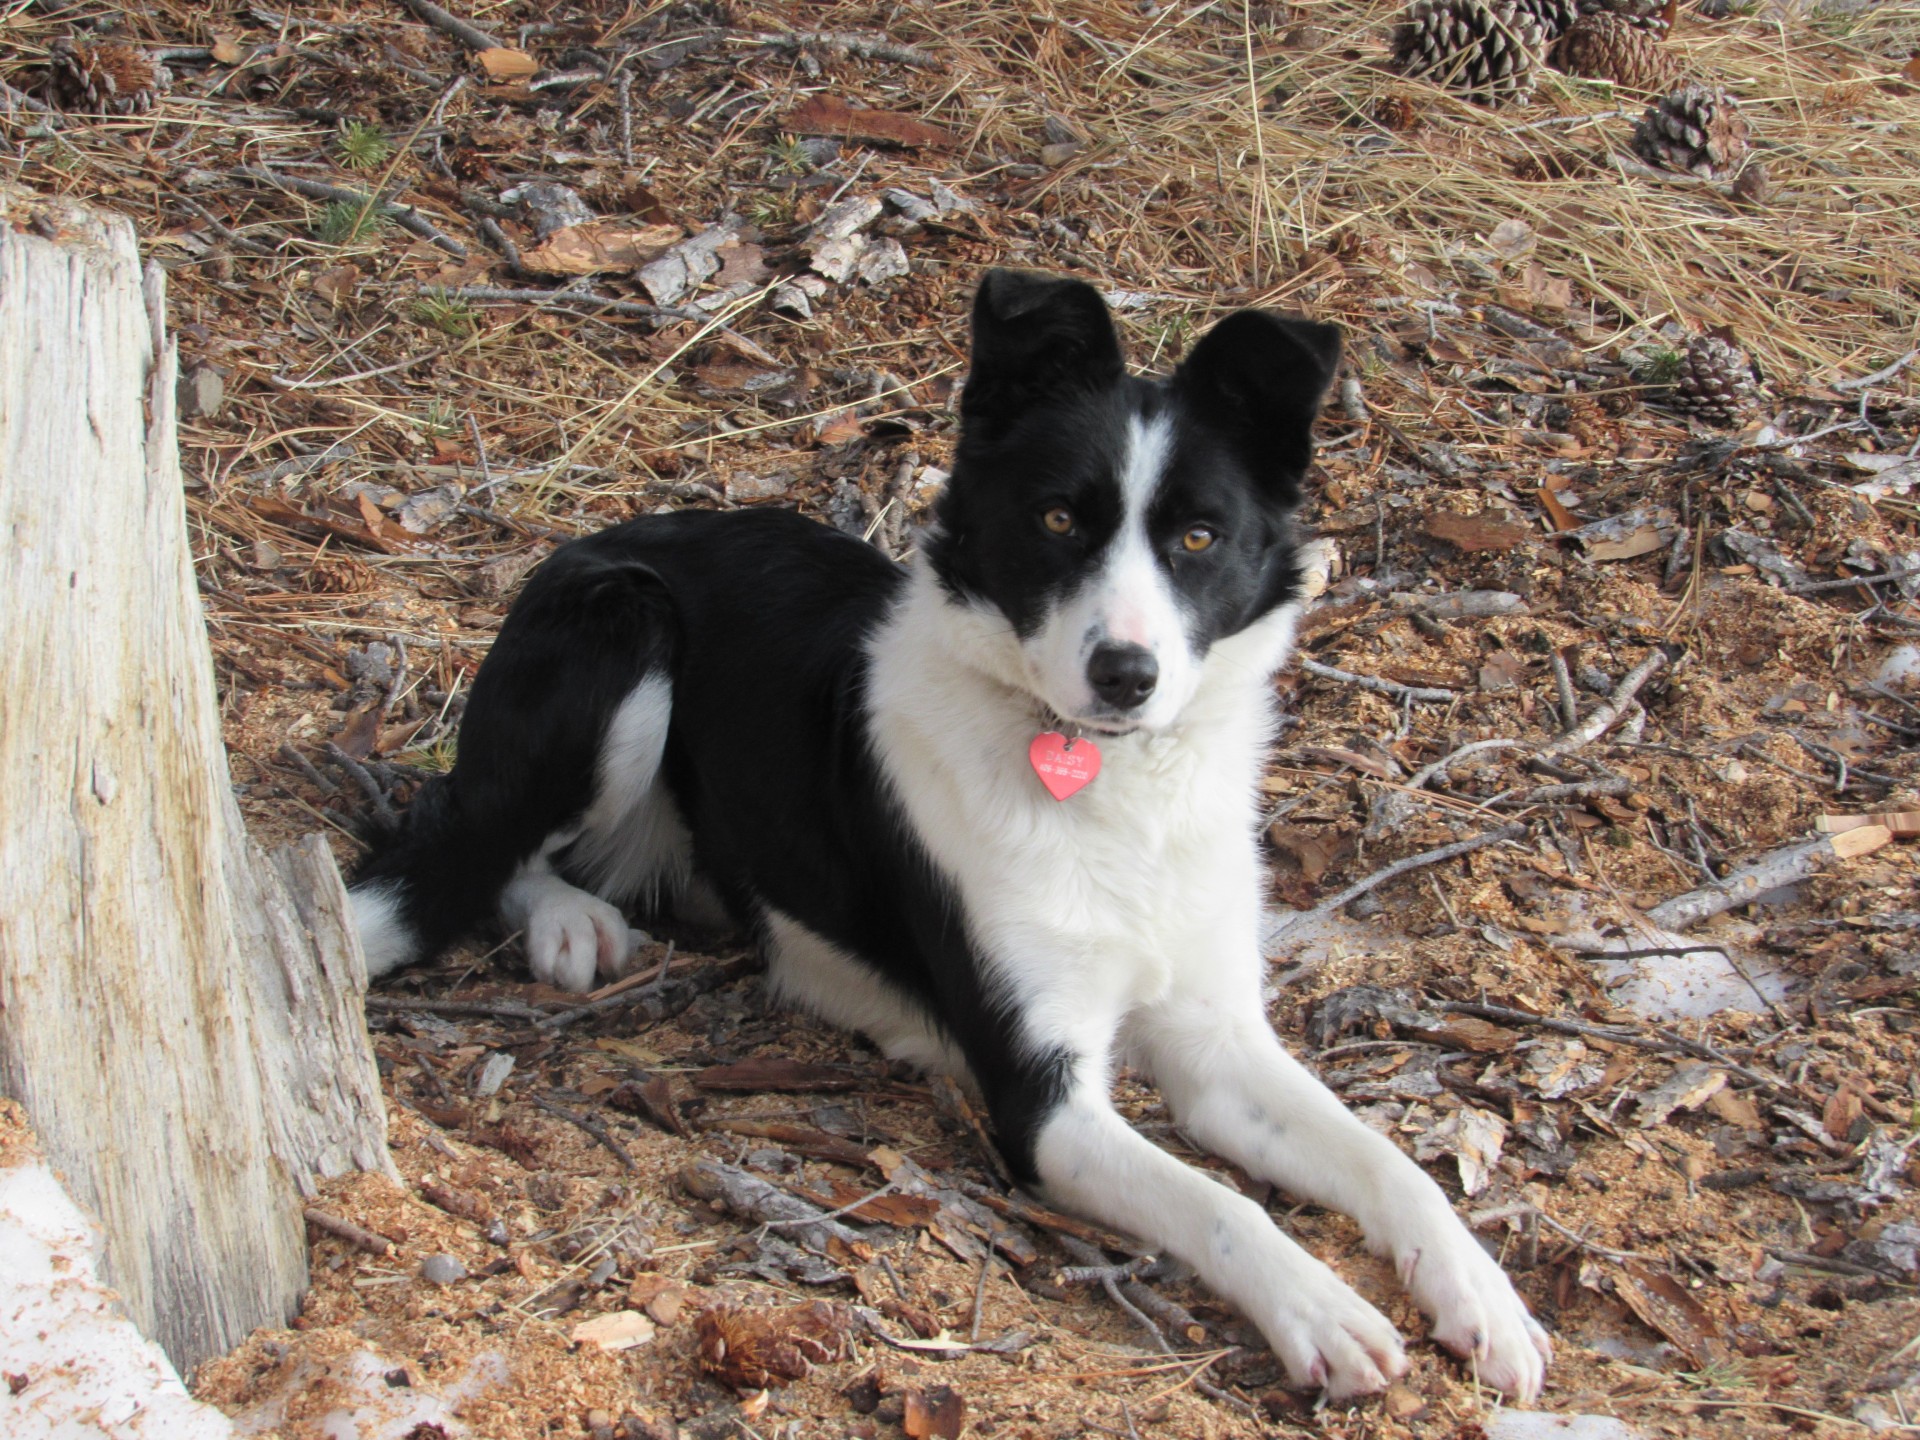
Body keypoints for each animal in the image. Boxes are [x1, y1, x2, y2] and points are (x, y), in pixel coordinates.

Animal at [353, 272, 1551, 1413]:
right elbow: (1219, 1207)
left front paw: (1483, 1297)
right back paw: (566, 919)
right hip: (625, 628)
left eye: (1199, 538)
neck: (1116, 789)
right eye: (1059, 521)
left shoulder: (1219, 1045)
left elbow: (1389, 1162)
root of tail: (601, 531)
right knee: (480, 839)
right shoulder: (1042, 1101)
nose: (1126, 675)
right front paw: (1323, 1310)